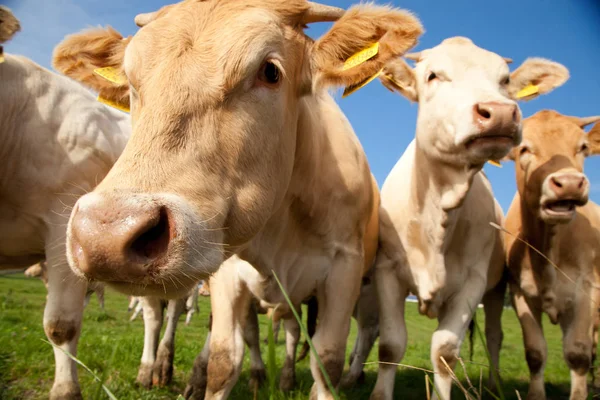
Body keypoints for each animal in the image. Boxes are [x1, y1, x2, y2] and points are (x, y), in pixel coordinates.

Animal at [54, 1, 424, 398]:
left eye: (270, 71)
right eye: (131, 81)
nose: (104, 234)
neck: (281, 230)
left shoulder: (345, 268)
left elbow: (326, 362)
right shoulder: (227, 268)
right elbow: (224, 359)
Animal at [368, 36, 568, 398]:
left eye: (505, 80)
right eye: (432, 75)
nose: (500, 112)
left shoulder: (473, 282)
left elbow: (445, 352)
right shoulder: (387, 270)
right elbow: (390, 345)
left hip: (497, 288)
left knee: (494, 335)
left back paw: (495, 383)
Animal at [502, 110, 600, 400]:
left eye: (583, 147)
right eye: (524, 148)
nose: (569, 184)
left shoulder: (586, 291)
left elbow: (577, 353)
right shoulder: (520, 292)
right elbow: (535, 352)